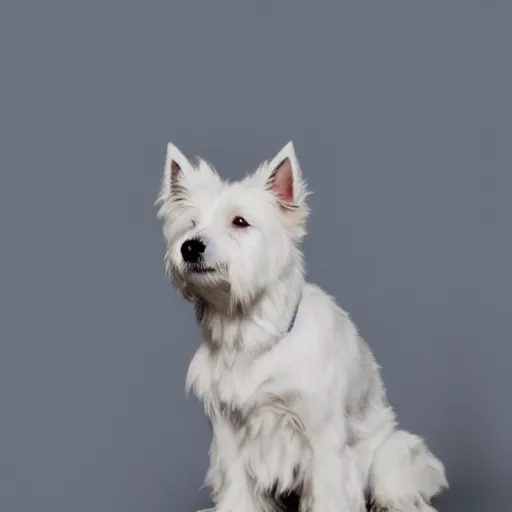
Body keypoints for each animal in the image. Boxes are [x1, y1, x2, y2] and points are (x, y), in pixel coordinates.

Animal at [156, 142, 448, 512]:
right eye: (190, 224)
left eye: (240, 222)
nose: (191, 247)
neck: (251, 334)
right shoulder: (229, 437)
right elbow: (238, 493)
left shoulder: (321, 437)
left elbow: (329, 493)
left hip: (391, 459)